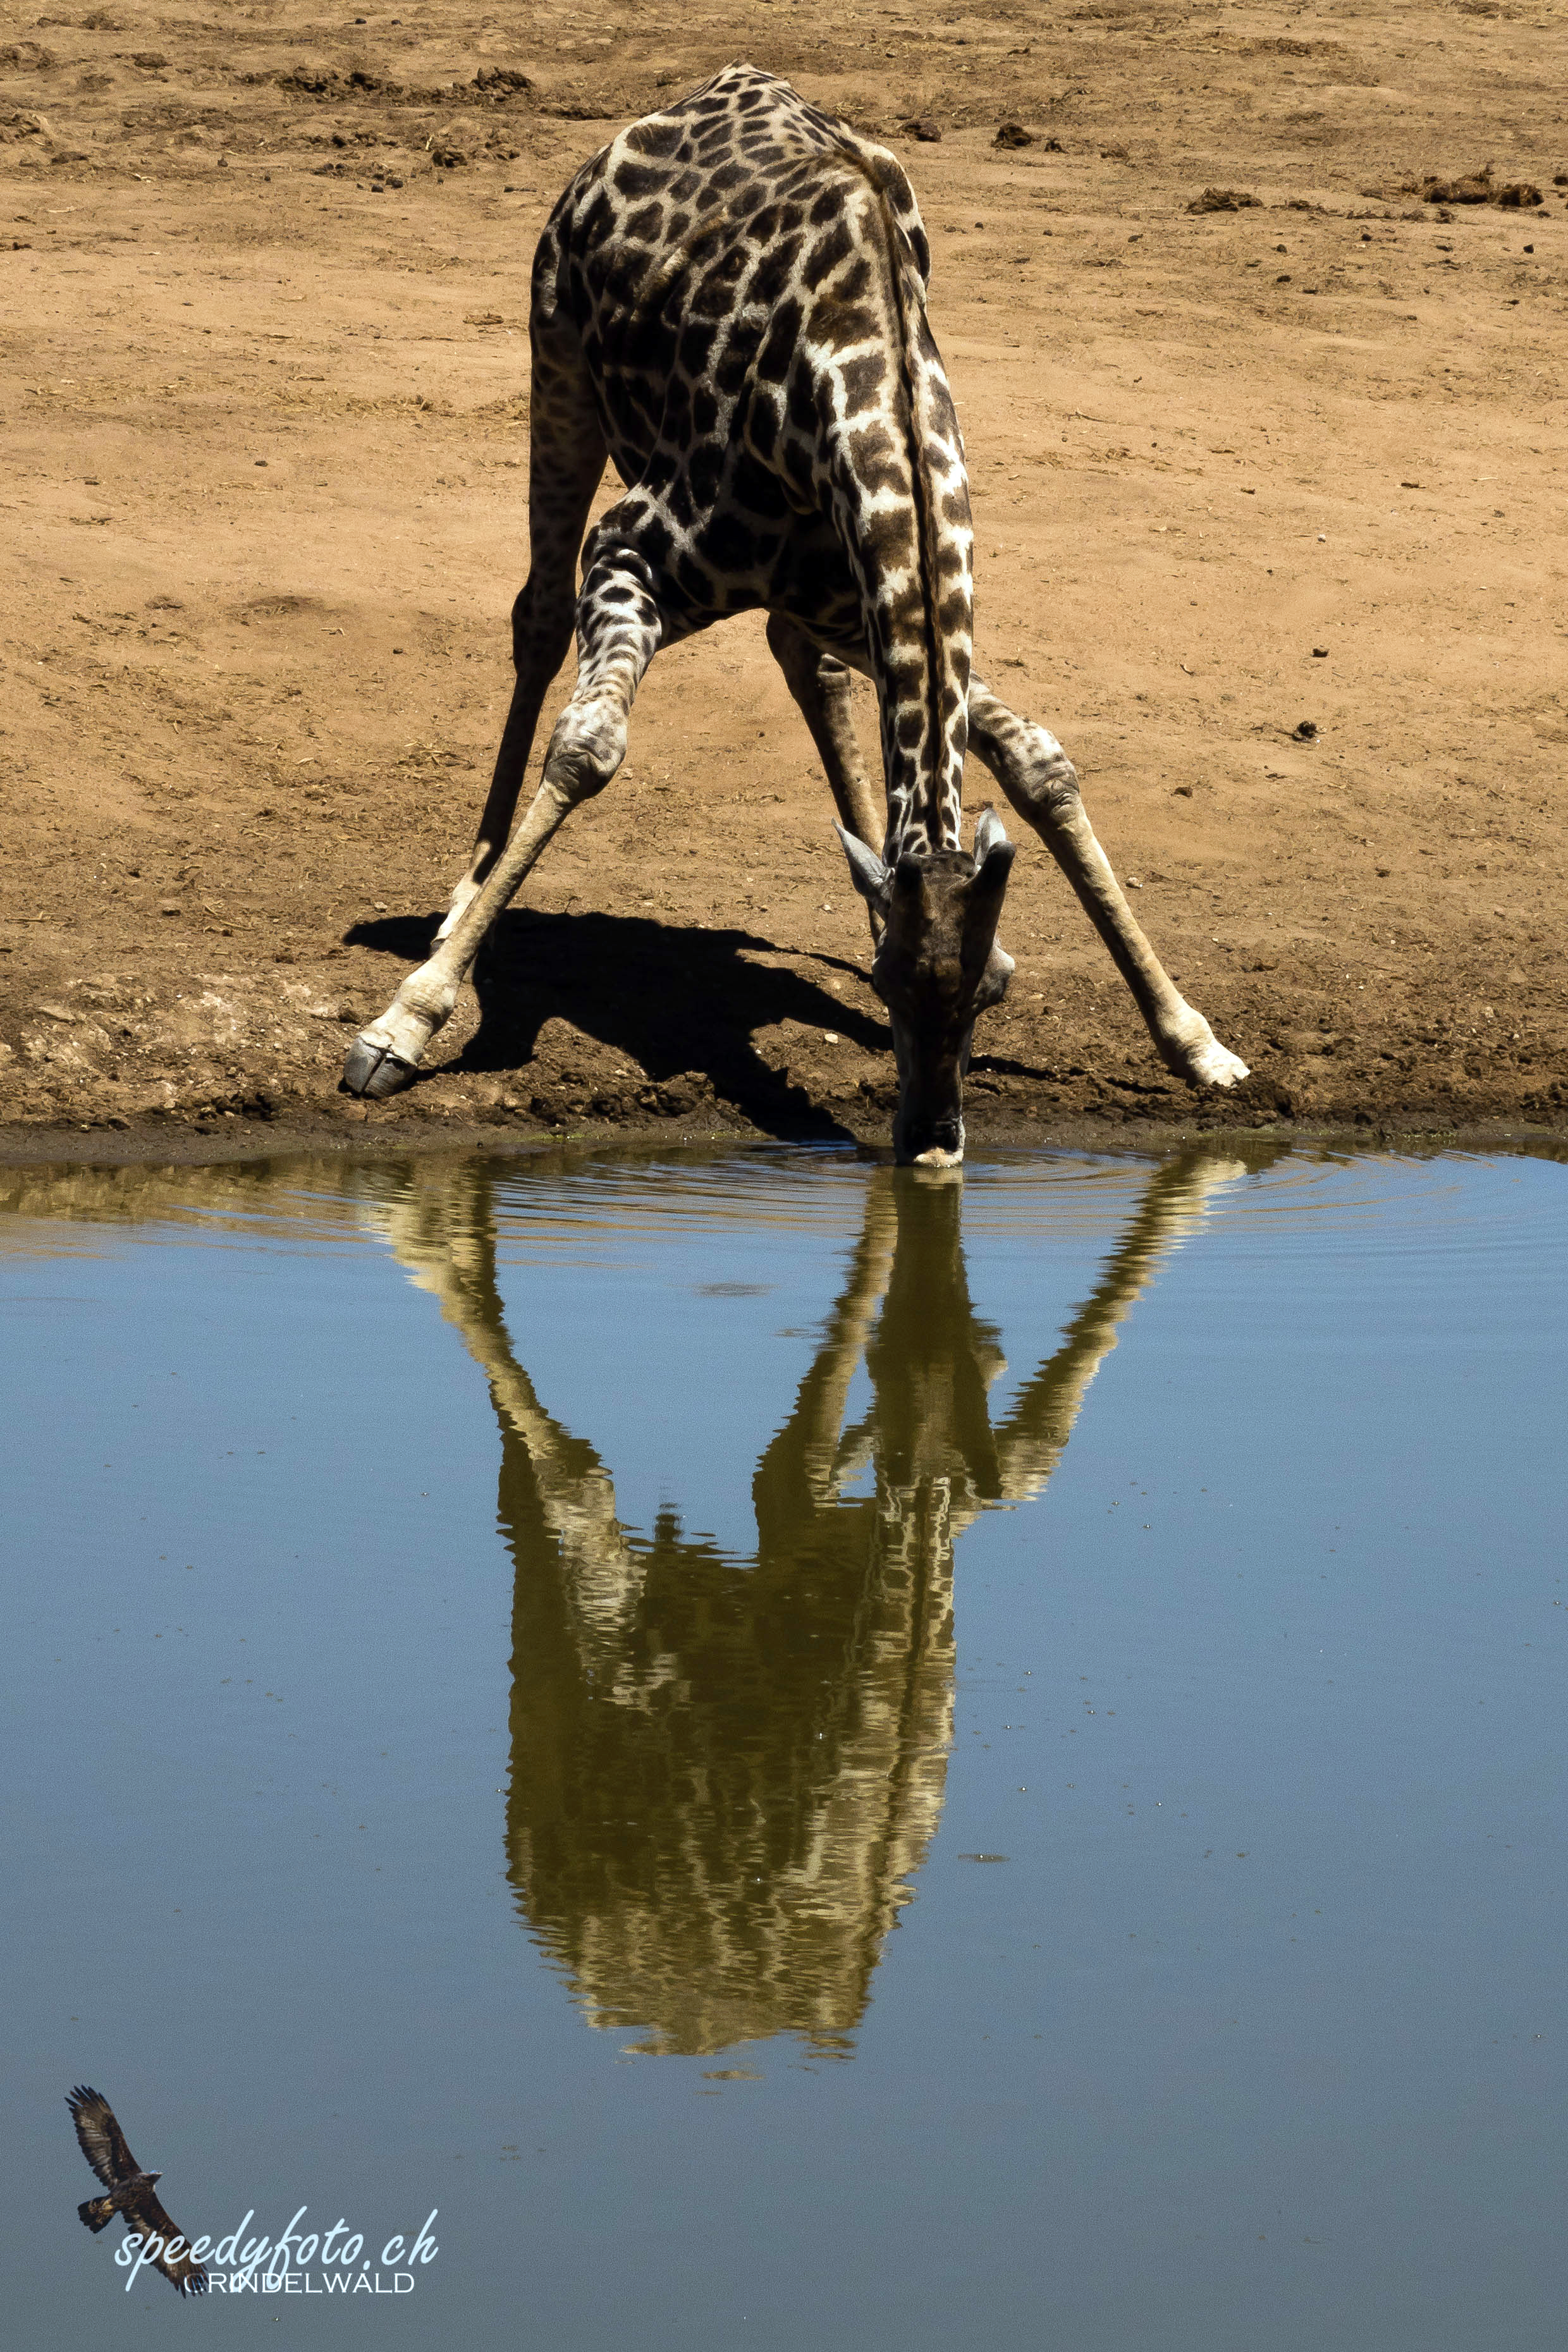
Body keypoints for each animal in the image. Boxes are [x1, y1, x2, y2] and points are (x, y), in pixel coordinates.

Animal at [345, 68, 1251, 1171]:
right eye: (891, 991)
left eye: (980, 1002)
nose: (932, 1144)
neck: (860, 382)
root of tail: (687, 97)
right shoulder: (631, 550)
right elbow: (589, 746)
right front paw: (404, 1022)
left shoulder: (856, 595)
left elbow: (1037, 758)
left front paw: (1194, 1038)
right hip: (555, 355)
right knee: (537, 616)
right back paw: (462, 898)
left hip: (806, 594)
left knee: (798, 664)